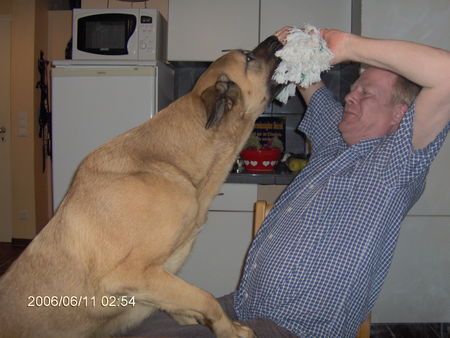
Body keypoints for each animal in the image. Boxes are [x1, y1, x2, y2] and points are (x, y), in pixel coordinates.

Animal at [0, 35, 282, 336]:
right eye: (248, 57)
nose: (276, 37)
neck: (175, 164)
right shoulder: (132, 273)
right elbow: (206, 298)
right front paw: (229, 330)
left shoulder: (159, 278)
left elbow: (184, 304)